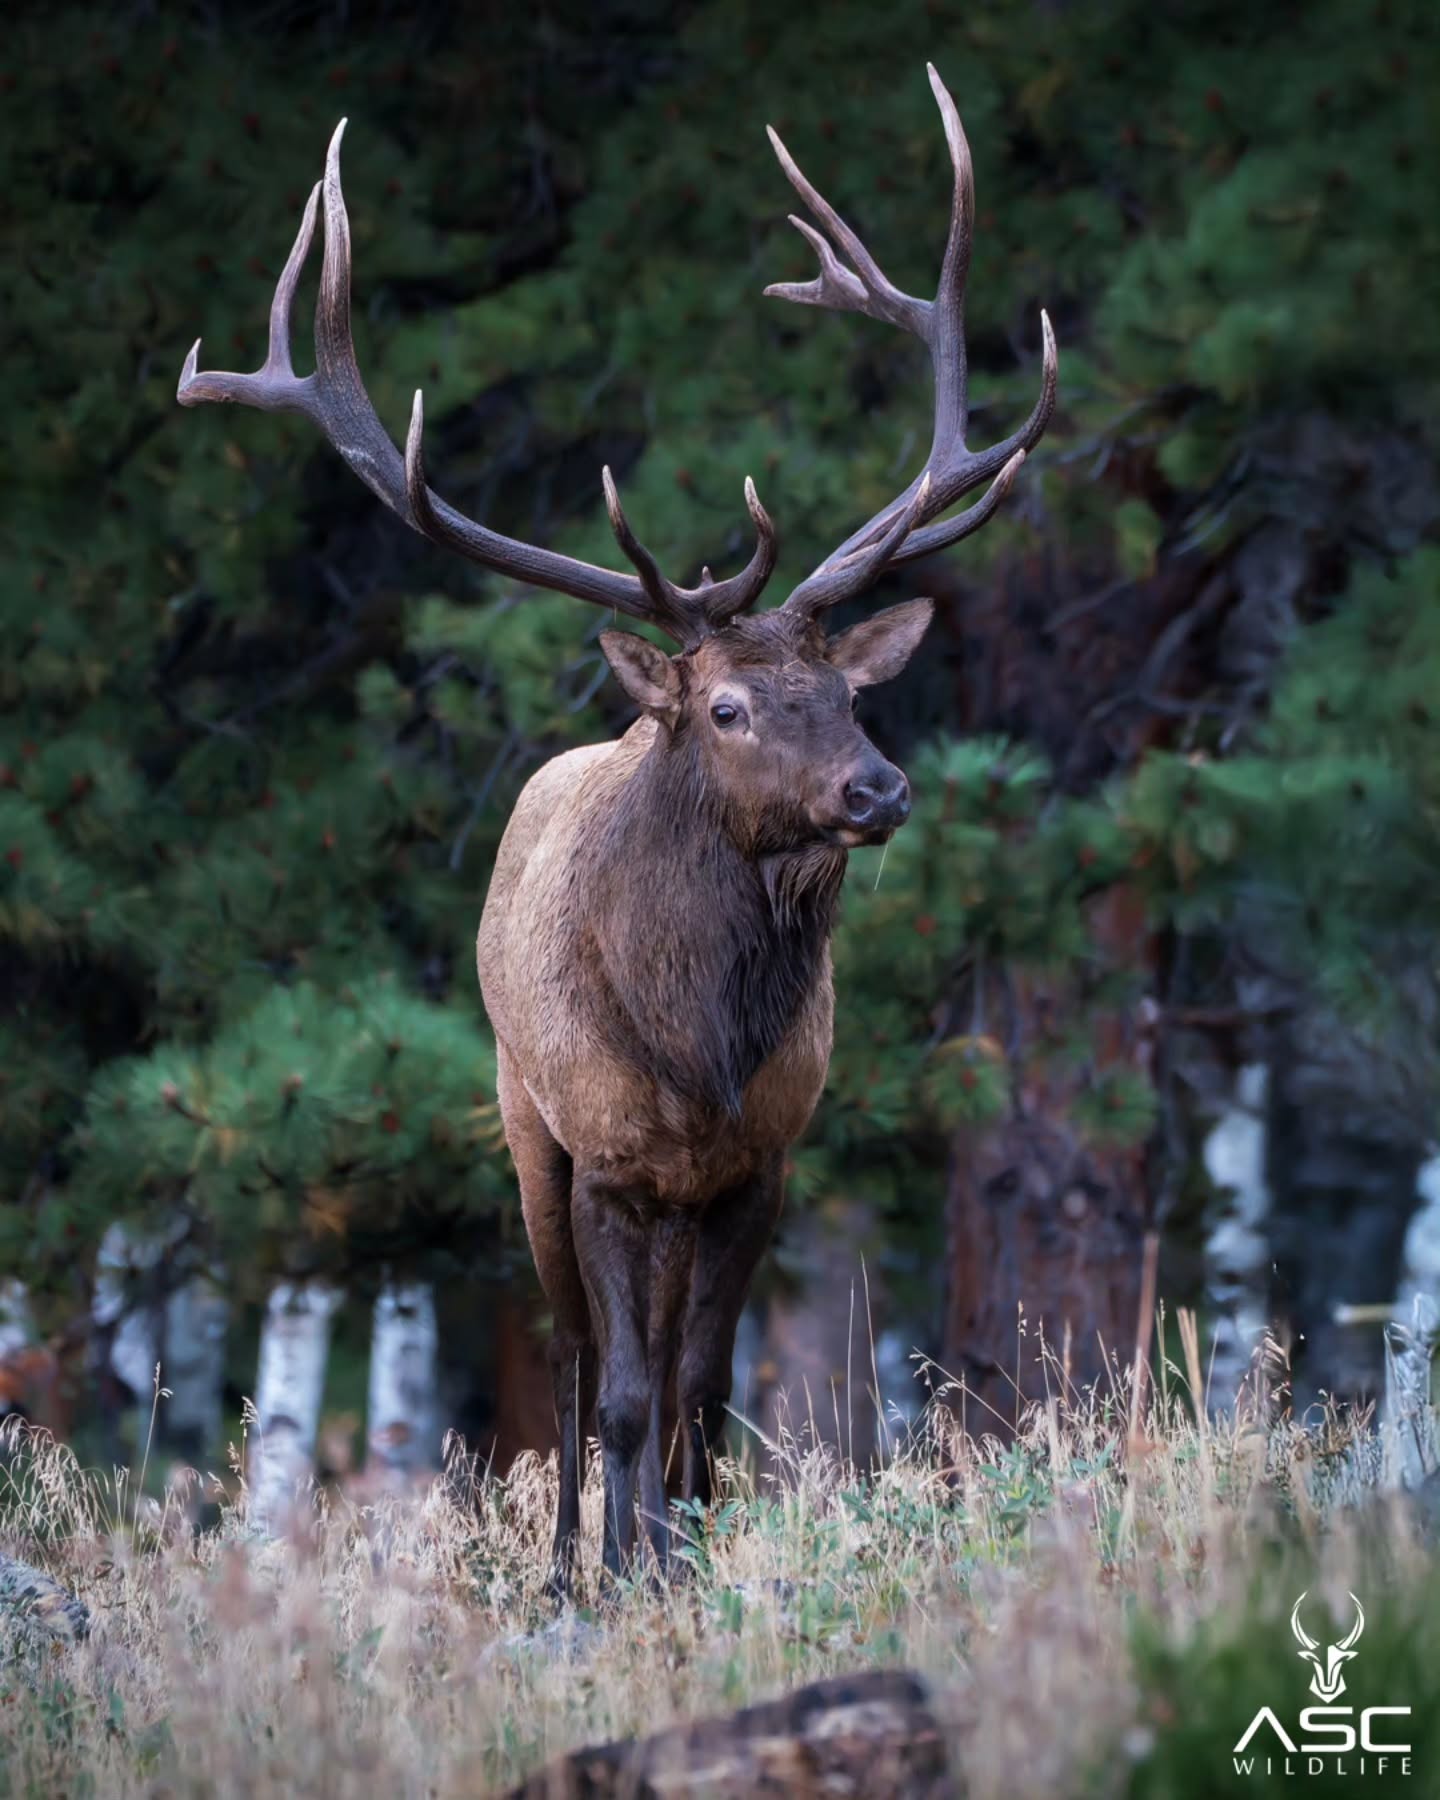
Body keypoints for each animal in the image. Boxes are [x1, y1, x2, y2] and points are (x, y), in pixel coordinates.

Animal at [177, 65, 1057, 1593]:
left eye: (845, 691)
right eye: (726, 707)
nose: (879, 791)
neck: (698, 1049)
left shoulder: (761, 1157)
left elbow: (703, 1389)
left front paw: (688, 1564)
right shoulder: (603, 1151)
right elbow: (626, 1389)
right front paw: (617, 1582)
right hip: (520, 1118)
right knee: (580, 1360)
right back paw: (571, 1559)